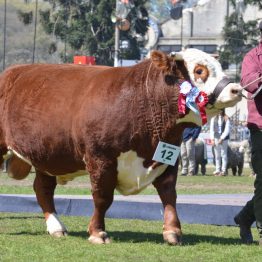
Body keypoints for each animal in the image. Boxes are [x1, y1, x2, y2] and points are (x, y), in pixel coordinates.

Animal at [0, 49, 242, 246]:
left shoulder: (168, 156)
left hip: (47, 155)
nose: (236, 89)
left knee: (42, 188)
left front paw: (173, 232)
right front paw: (97, 233)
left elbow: (169, 195)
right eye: (199, 70)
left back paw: (57, 228)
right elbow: (103, 197)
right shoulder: (101, 158)